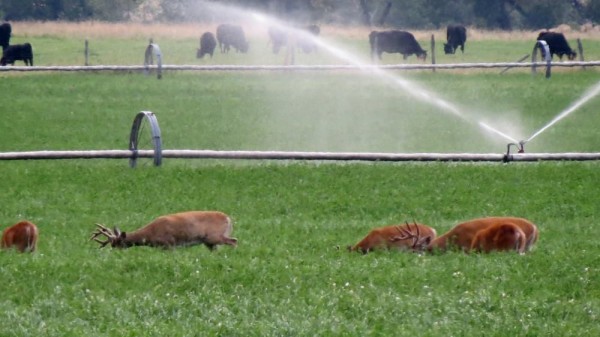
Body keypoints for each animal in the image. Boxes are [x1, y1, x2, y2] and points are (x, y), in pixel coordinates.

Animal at [90, 210, 238, 249]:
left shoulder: (169, 244)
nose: (114, 253)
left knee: (234, 241)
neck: (150, 235)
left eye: (118, 244)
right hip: (209, 242)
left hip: (215, 236)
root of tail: (228, 218)